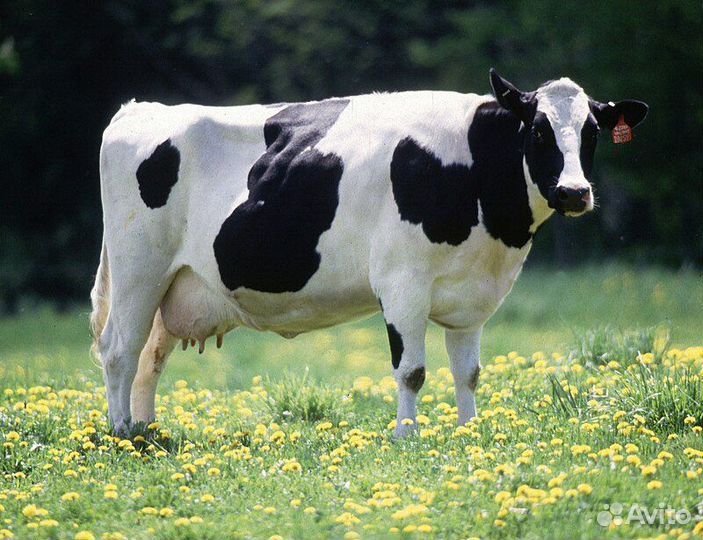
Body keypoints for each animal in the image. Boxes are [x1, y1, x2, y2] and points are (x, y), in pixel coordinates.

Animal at [90, 69, 648, 438]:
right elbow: (412, 371)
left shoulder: (472, 297)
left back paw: (148, 431)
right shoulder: (403, 283)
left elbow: (468, 372)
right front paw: (407, 437)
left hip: (175, 284)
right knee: (119, 349)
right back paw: (122, 434)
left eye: (592, 132)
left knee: (150, 357)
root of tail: (139, 109)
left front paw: (469, 433)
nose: (574, 192)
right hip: (139, 270)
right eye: (537, 129)